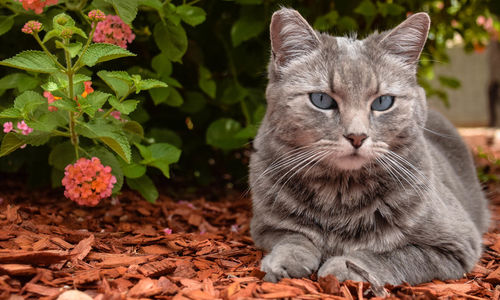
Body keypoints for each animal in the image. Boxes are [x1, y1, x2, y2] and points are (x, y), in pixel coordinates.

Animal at [248, 7, 490, 286]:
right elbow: (294, 236)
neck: (340, 193)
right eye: (321, 100)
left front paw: (344, 266)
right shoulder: (265, 226)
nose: (357, 136)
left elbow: (390, 255)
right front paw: (286, 260)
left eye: (383, 102)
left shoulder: (456, 243)